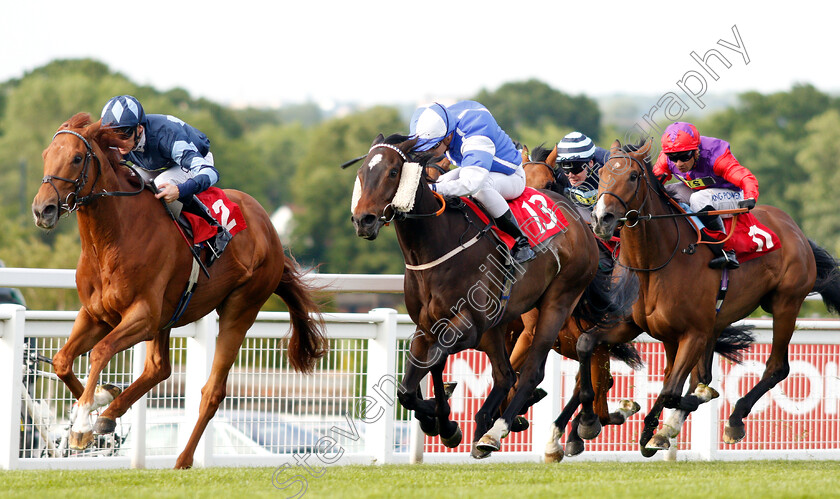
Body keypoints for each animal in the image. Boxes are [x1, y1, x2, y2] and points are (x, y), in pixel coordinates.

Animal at [29, 113, 326, 468]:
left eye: (76, 158)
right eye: (45, 154)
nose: (42, 210)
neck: (112, 239)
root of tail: (269, 229)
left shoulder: (143, 315)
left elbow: (100, 351)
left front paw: (83, 425)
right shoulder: (96, 314)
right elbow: (62, 360)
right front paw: (101, 399)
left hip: (240, 308)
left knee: (211, 391)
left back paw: (183, 458)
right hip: (169, 317)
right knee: (159, 368)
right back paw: (112, 414)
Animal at [350, 135, 636, 458]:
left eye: (393, 172)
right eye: (362, 173)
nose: (363, 219)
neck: (436, 247)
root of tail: (581, 225)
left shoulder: (471, 325)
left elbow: (435, 362)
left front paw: (445, 421)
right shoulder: (427, 327)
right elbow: (409, 387)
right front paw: (440, 420)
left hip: (557, 303)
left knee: (533, 373)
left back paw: (500, 431)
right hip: (504, 325)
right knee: (506, 374)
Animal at [584, 139, 840, 456]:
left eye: (632, 176)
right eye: (602, 173)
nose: (601, 219)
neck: (653, 264)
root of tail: (795, 228)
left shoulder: (693, 332)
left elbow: (672, 390)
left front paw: (653, 430)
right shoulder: (632, 324)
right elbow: (587, 343)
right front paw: (595, 422)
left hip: (785, 304)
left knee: (776, 367)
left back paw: (734, 419)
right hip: (716, 321)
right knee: (701, 375)